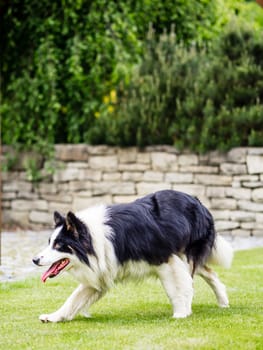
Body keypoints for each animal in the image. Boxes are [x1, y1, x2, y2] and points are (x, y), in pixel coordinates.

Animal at [32, 190, 233, 322]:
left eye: (58, 245)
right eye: (49, 242)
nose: (34, 260)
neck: (94, 239)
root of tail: (198, 201)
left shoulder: (166, 260)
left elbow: (175, 288)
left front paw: (181, 313)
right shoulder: (102, 269)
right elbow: (74, 298)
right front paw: (54, 316)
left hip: (186, 253)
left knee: (194, 277)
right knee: (209, 272)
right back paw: (223, 301)